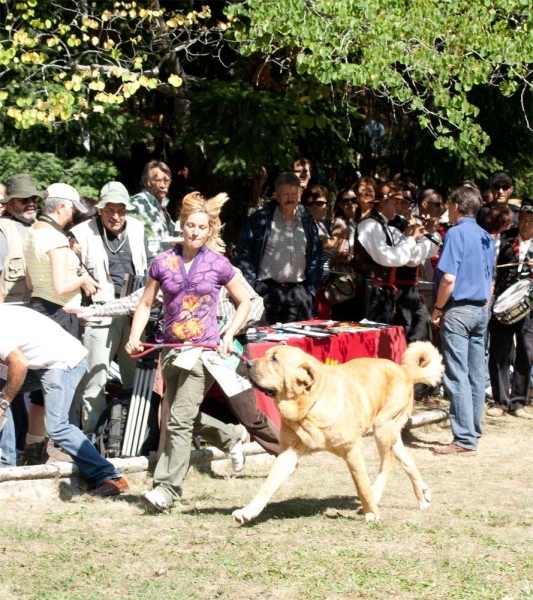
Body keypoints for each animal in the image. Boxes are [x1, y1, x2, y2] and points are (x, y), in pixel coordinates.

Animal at [232, 340, 440, 524]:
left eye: (274, 359)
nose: (247, 364)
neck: (309, 404)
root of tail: (405, 371)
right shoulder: (288, 453)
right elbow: (267, 485)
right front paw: (247, 511)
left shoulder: (352, 450)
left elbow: (361, 484)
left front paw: (371, 513)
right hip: (391, 433)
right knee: (407, 461)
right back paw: (422, 496)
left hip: (383, 426)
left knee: (388, 463)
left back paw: (377, 496)